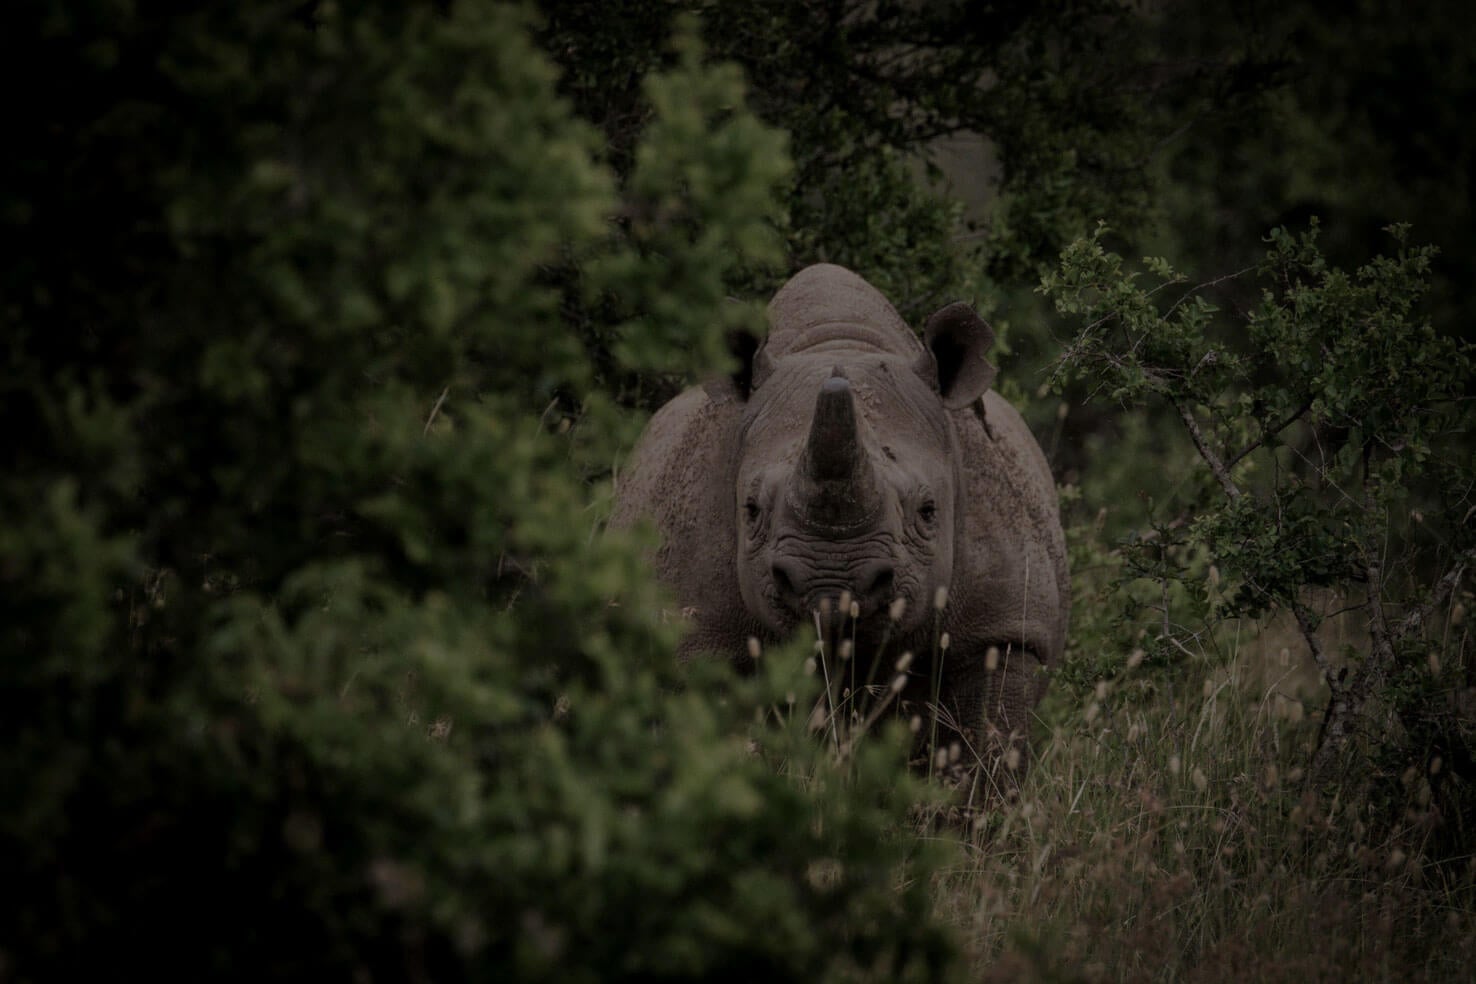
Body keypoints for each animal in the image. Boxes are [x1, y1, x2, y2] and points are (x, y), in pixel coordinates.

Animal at [610, 264, 1068, 781]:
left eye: (928, 510)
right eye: (751, 509)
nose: (831, 586)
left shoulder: (1004, 629)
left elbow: (985, 757)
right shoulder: (693, 634)